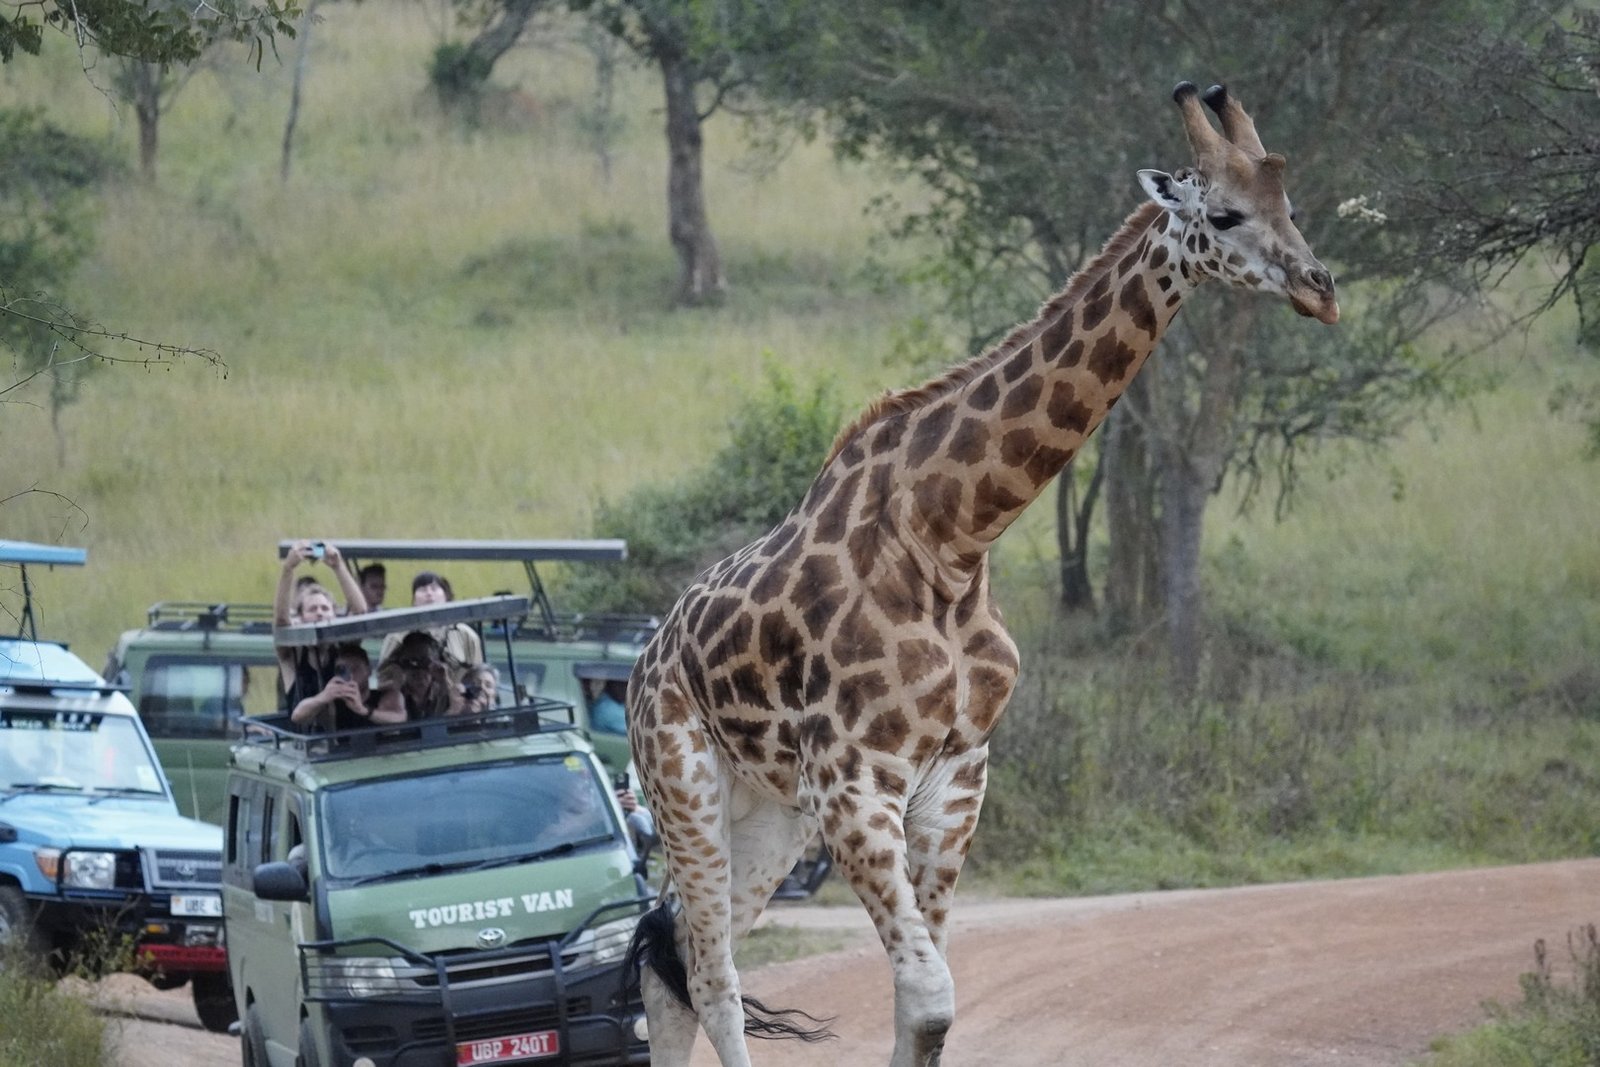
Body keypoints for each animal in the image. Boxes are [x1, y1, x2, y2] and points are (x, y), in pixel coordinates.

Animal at [624, 80, 1339, 1067]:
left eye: (1292, 205)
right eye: (1225, 213)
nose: (1321, 288)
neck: (952, 540)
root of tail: (642, 661)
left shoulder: (956, 775)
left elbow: (917, 1005)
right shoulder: (855, 779)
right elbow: (929, 996)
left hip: (768, 812)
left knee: (679, 962)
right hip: (684, 780)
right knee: (713, 974)